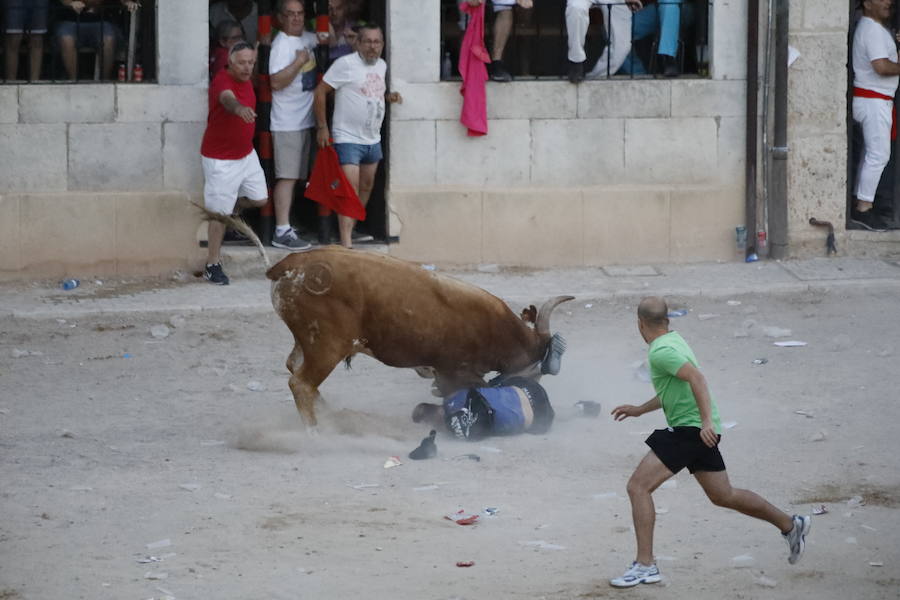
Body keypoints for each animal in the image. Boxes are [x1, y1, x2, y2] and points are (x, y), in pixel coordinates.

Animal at [264, 246, 568, 424]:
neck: (500, 330)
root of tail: (291, 263)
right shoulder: (455, 373)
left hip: (309, 343)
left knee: (294, 369)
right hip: (327, 345)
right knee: (301, 383)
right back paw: (317, 431)